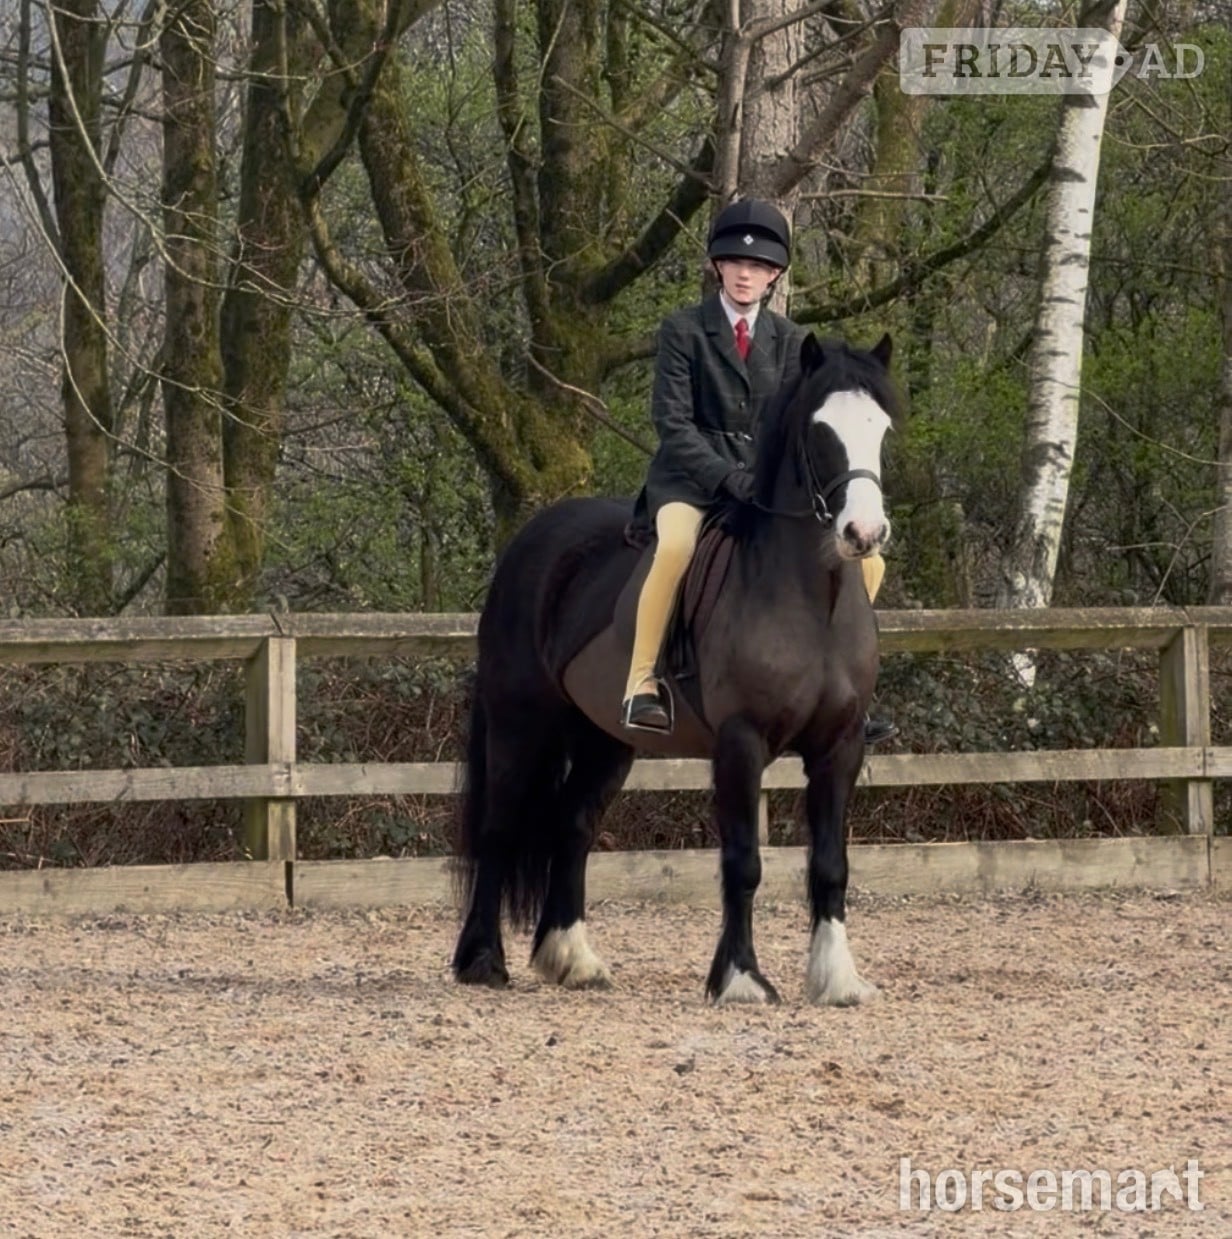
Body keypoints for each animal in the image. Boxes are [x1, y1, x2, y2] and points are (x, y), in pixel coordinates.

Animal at [451, 331, 897, 1004]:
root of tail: (533, 540)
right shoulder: (741, 743)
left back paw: (573, 958)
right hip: (518, 724)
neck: (809, 597)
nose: (864, 533)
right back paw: (482, 961)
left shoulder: (840, 746)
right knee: (500, 826)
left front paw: (836, 978)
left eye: (883, 429)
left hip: (606, 738)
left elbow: (830, 865)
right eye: (821, 432)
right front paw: (740, 978)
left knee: (572, 826)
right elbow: (743, 862)